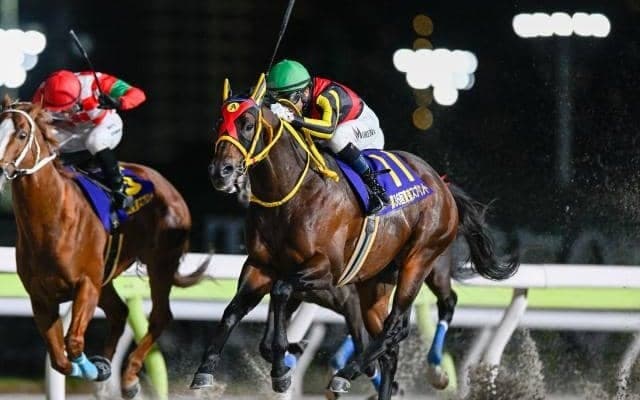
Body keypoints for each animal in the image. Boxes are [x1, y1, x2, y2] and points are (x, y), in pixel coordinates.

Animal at [0, 98, 207, 399]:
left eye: (22, 134)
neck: (52, 219)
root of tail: (166, 183)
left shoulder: (86, 285)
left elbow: (73, 341)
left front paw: (93, 369)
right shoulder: (41, 297)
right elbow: (59, 358)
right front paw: (96, 368)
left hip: (161, 263)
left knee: (160, 316)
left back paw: (129, 377)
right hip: (107, 277)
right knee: (120, 311)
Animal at [196, 75, 518, 400]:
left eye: (248, 123)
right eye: (219, 122)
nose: (221, 172)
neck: (290, 195)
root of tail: (441, 185)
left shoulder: (326, 269)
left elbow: (281, 291)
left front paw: (281, 369)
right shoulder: (260, 266)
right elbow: (233, 311)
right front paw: (206, 370)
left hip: (420, 259)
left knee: (400, 325)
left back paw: (355, 373)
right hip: (375, 284)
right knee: (389, 346)